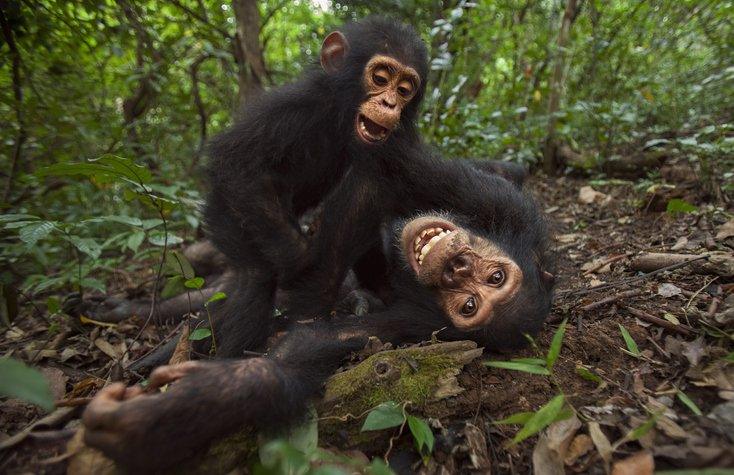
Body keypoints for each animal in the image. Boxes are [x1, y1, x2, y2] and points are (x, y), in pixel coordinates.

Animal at [83, 165, 556, 472]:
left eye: (468, 307)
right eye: (493, 278)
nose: (457, 267)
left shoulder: (411, 328)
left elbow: (303, 347)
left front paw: (183, 408)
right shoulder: (508, 208)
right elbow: (378, 184)